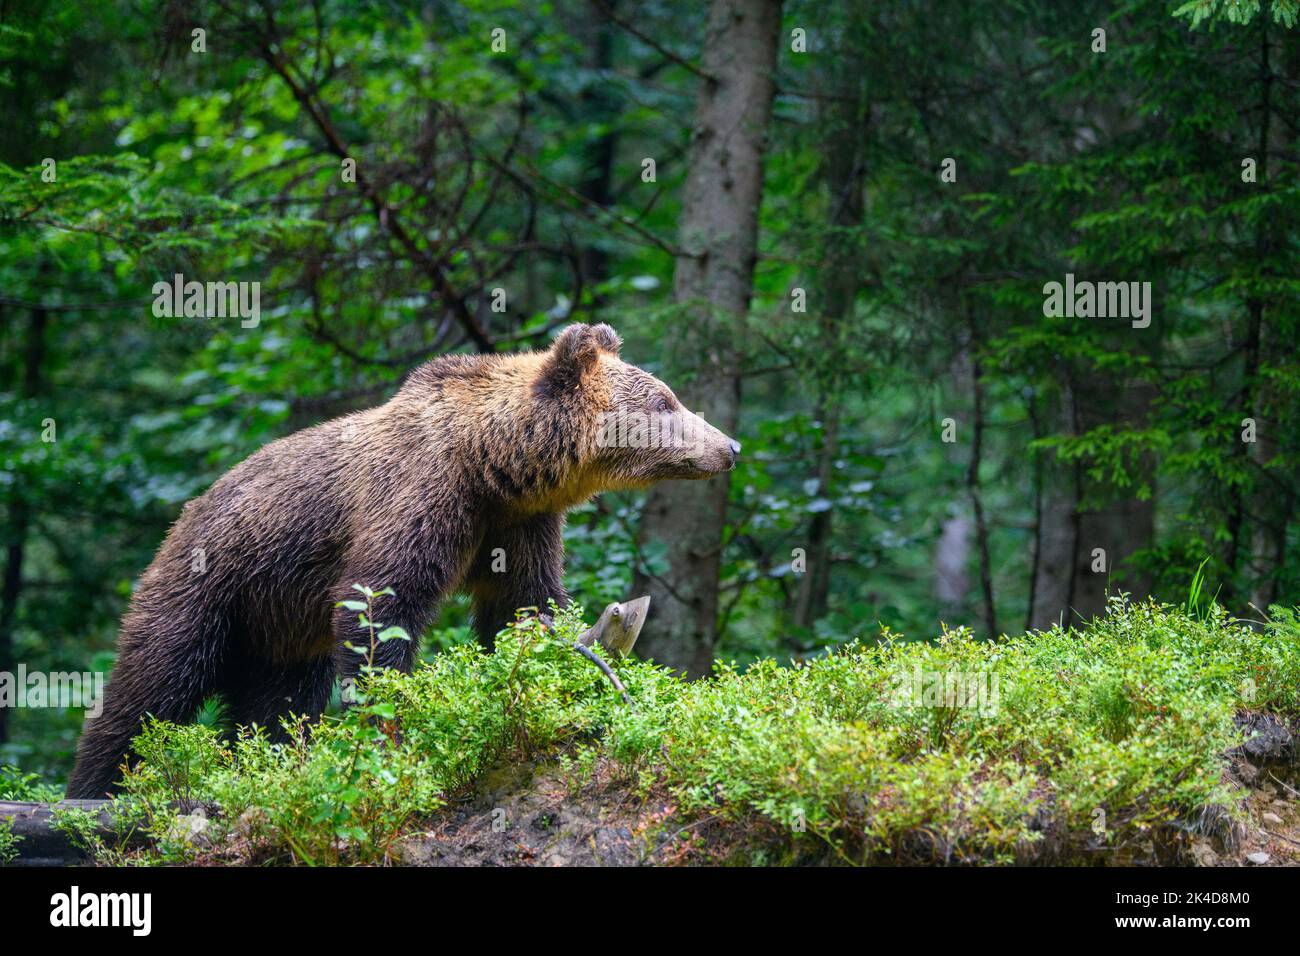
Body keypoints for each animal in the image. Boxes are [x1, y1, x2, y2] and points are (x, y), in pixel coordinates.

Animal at [65, 325, 738, 796]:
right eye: (667, 401)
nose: (729, 445)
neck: (491, 462)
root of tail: (183, 514)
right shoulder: (419, 498)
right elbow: (381, 608)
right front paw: (396, 724)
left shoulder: (517, 524)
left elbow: (524, 605)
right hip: (215, 583)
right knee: (154, 683)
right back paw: (96, 788)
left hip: (281, 624)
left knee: (276, 703)